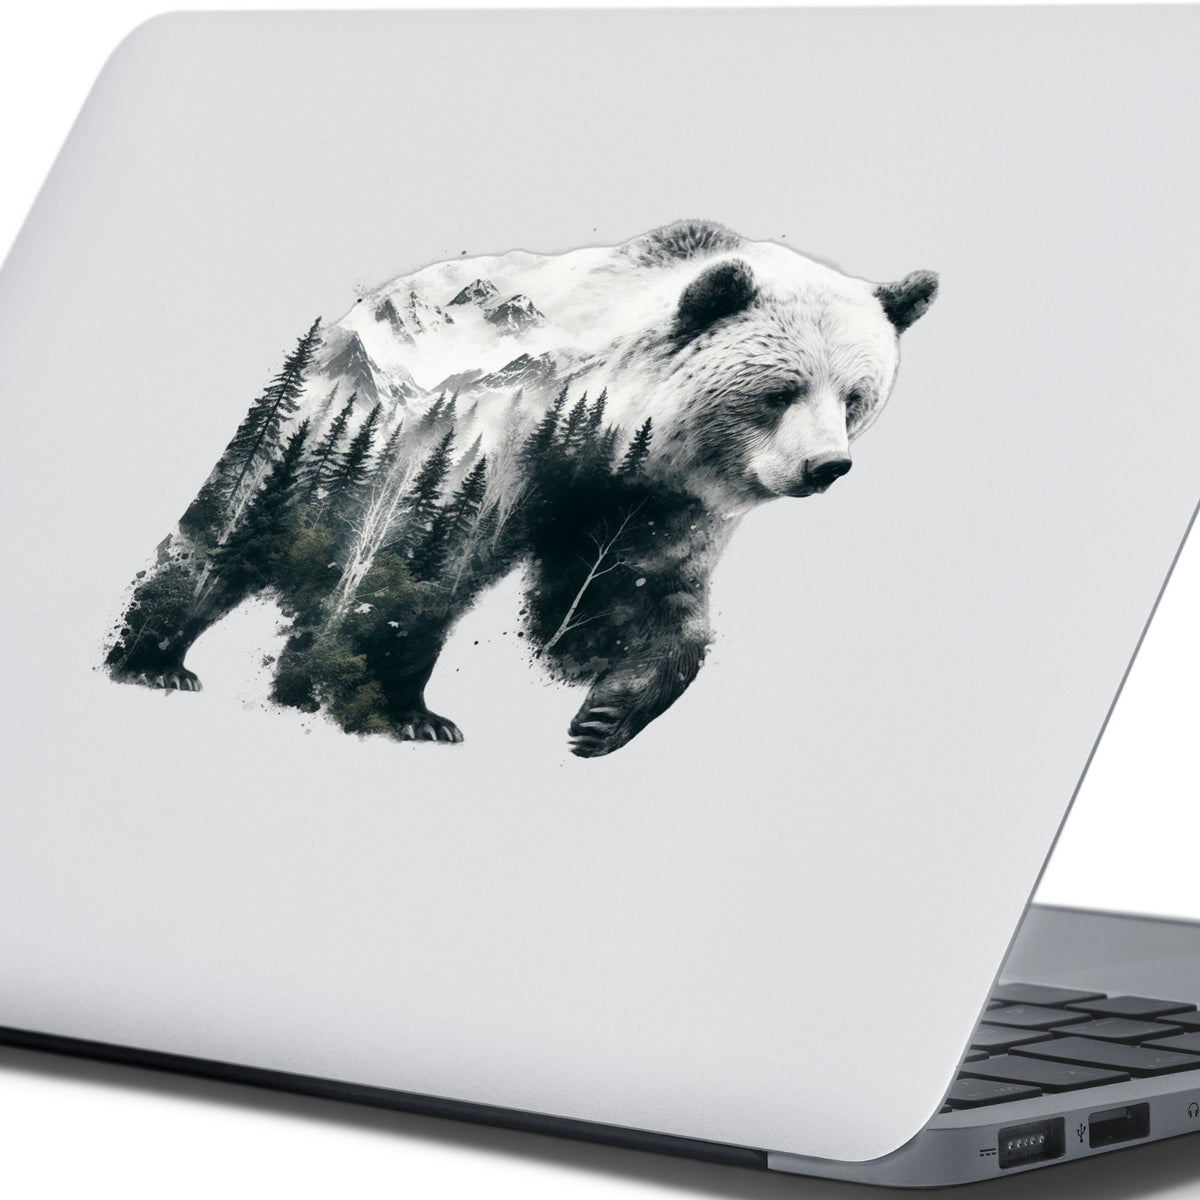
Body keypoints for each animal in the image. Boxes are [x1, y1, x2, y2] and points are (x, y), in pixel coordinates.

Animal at [104, 221, 937, 758]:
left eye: (855, 398)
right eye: (779, 392)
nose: (826, 467)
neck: (611, 432)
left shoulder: (652, 501)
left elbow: (633, 600)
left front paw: (603, 715)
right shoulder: (495, 444)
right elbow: (419, 564)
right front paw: (410, 714)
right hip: (319, 430)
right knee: (227, 530)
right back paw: (153, 659)